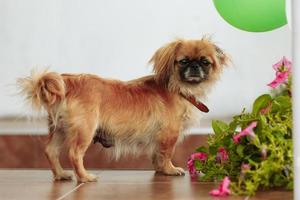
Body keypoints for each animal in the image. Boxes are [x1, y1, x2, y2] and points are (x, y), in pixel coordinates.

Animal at [17, 37, 229, 183]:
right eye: (183, 61)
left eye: (205, 62)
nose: (194, 66)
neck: (180, 89)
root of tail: (68, 81)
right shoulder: (169, 135)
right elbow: (166, 154)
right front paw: (170, 169)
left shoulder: (159, 138)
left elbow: (156, 155)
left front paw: (160, 170)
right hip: (84, 130)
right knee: (74, 154)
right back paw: (85, 177)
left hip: (60, 129)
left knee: (50, 151)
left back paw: (61, 174)